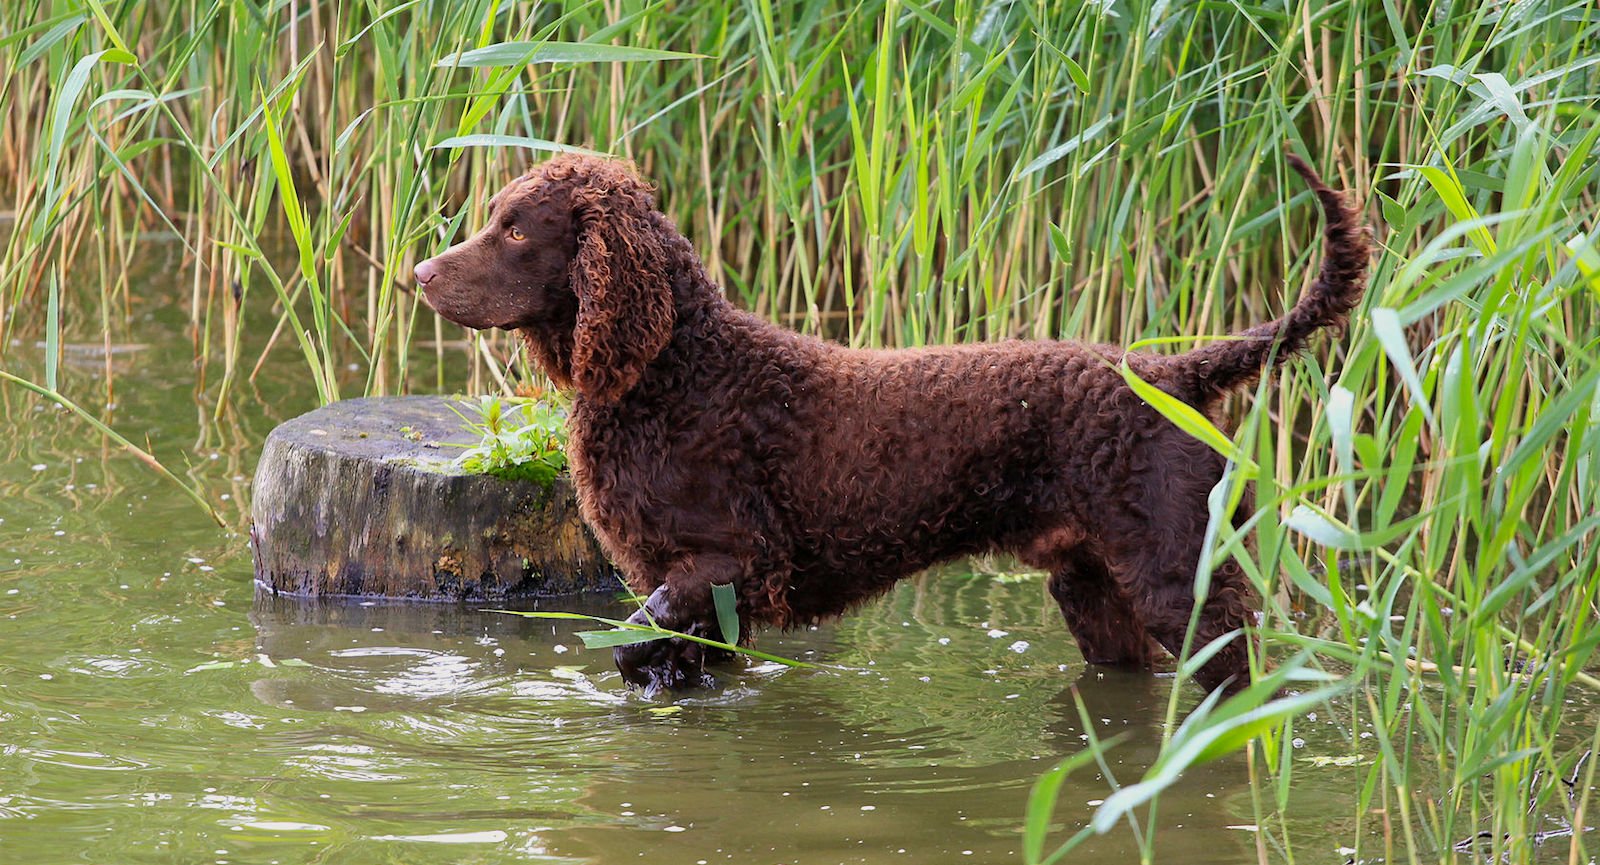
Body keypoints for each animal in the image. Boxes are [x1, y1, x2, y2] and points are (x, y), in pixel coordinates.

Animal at [409, 150, 1363, 693]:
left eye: (516, 231)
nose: (418, 273)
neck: (675, 370)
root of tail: (1172, 372)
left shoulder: (727, 563)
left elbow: (629, 646)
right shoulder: (696, 589)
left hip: (1180, 579)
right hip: (1094, 591)